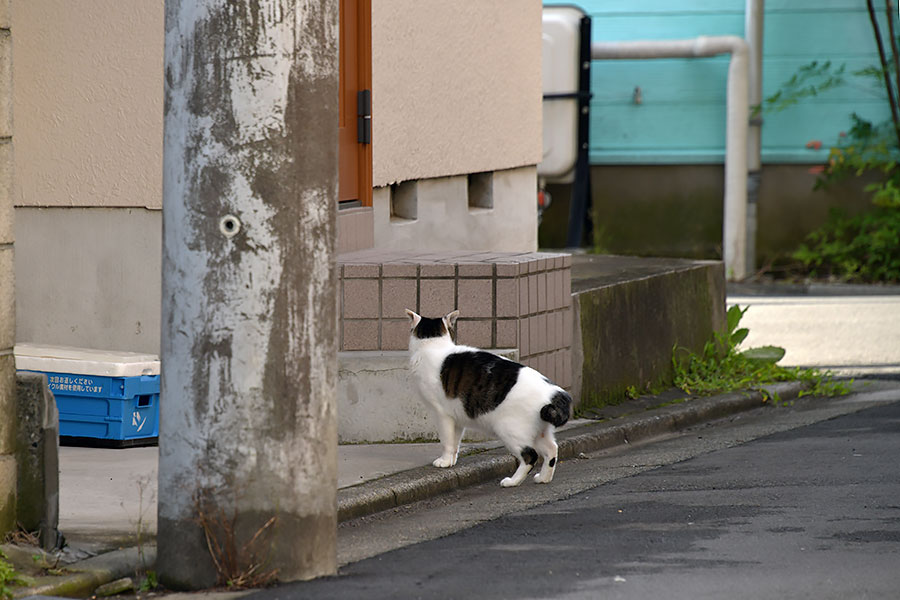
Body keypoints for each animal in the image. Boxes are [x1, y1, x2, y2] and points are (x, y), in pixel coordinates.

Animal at [406, 310, 572, 488]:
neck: (432, 345)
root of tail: (555, 393)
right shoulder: (457, 417)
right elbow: (455, 441)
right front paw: (451, 460)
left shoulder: (442, 414)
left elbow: (447, 440)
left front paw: (444, 461)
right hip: (539, 431)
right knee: (552, 449)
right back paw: (543, 478)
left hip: (509, 429)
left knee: (530, 456)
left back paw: (512, 481)